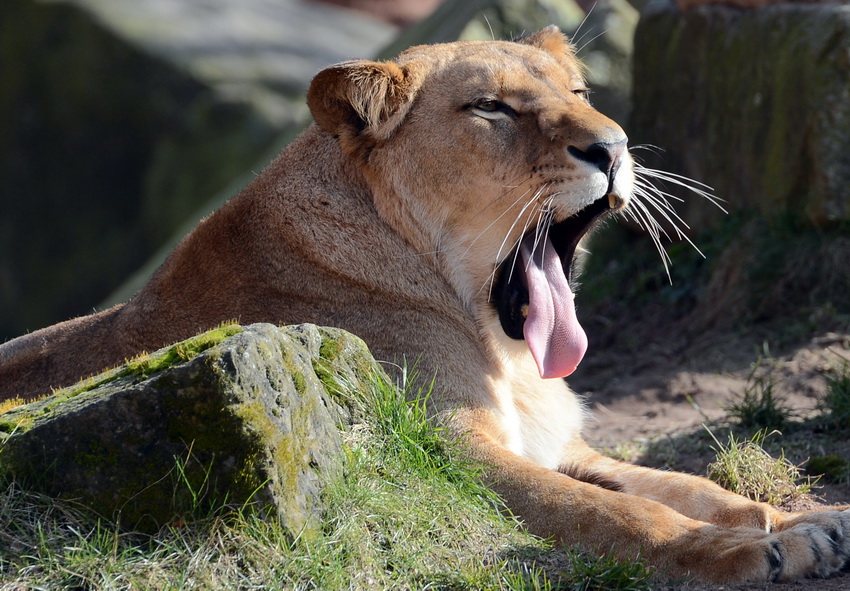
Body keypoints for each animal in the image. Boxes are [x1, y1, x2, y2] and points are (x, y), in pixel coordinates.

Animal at [1, 26, 848, 584]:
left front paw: (809, 524)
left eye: (577, 92)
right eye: (492, 109)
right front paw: (741, 553)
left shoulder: (559, 442)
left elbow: (689, 485)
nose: (613, 147)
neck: (497, 343)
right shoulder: (441, 445)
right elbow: (614, 511)